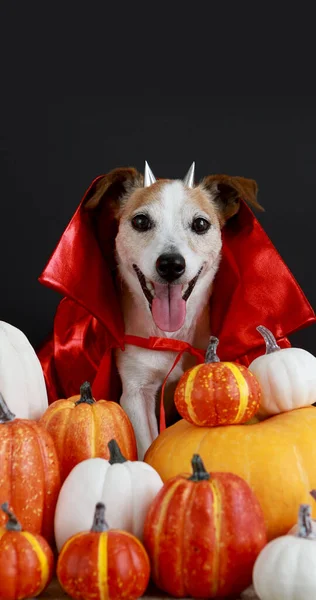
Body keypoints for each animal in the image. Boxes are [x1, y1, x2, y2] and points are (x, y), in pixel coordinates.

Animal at [84, 164, 262, 460]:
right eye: (141, 222)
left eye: (200, 224)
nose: (170, 264)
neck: (171, 336)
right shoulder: (136, 392)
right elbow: (147, 445)